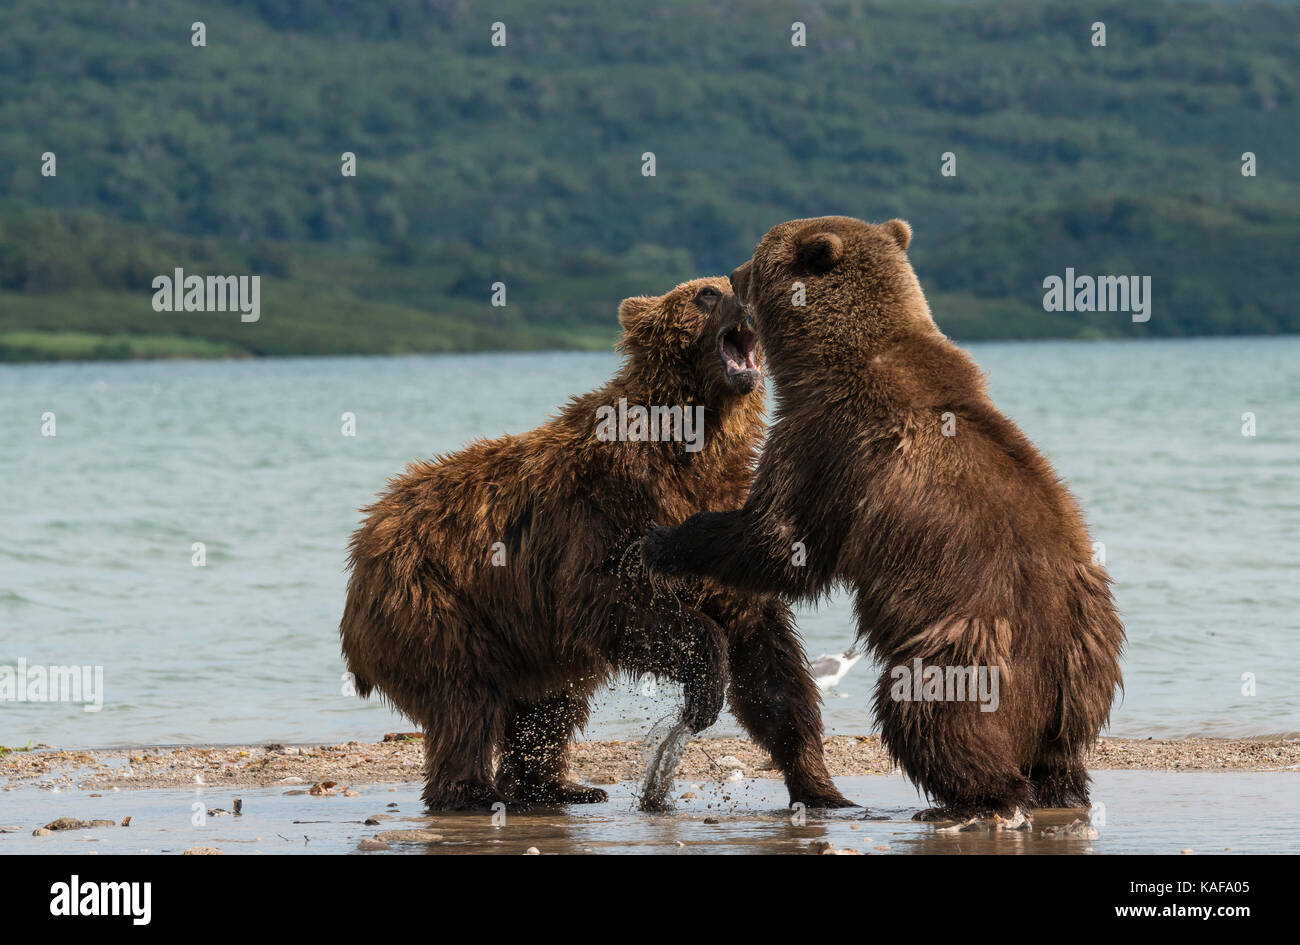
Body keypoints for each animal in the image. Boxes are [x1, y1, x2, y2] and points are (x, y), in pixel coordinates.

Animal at [338, 275, 852, 811]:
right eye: (707, 293)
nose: (746, 298)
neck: (694, 440)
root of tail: (365, 540)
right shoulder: (607, 507)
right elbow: (605, 599)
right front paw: (705, 685)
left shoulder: (720, 520)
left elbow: (767, 658)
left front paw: (818, 783)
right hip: (436, 601)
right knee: (465, 697)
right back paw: (474, 791)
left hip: (523, 637)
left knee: (549, 703)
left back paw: (559, 786)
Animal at [644, 219, 1123, 821]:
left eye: (757, 254)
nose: (731, 273)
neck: (835, 359)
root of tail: (1059, 675)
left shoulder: (824, 443)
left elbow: (781, 544)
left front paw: (664, 540)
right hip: (1086, 670)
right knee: (1059, 754)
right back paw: (1058, 790)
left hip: (965, 646)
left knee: (928, 712)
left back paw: (969, 800)